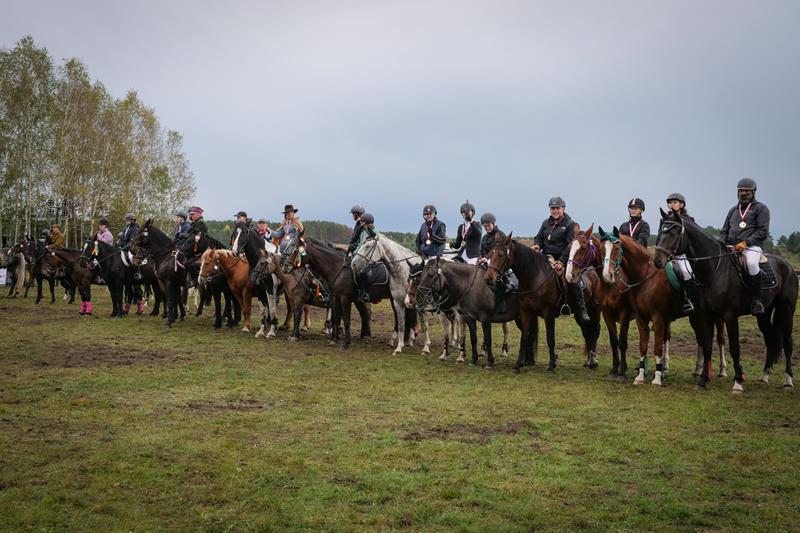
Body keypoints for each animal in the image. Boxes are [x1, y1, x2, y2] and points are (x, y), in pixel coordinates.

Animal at [653, 209, 797, 392]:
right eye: (660, 231)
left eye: (674, 232)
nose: (657, 261)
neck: (715, 270)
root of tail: (788, 266)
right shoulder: (705, 315)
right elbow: (707, 346)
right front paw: (702, 381)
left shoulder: (730, 316)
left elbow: (734, 348)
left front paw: (738, 382)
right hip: (764, 313)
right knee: (770, 339)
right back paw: (765, 375)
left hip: (787, 310)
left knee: (787, 342)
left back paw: (788, 380)